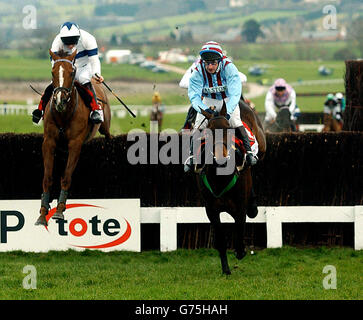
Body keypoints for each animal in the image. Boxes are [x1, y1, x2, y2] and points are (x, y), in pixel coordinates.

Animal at [36, 48, 112, 226]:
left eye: (72, 72)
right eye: (52, 71)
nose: (60, 100)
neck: (63, 114)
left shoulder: (75, 144)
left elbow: (66, 177)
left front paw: (59, 210)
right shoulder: (49, 142)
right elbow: (47, 177)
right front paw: (43, 213)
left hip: (105, 126)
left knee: (108, 136)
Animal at [196, 101, 268, 274]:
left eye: (229, 129)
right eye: (209, 131)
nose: (221, 159)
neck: (221, 179)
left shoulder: (240, 207)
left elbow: (240, 228)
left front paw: (240, 251)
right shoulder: (211, 210)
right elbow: (221, 240)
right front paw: (226, 269)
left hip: (262, 147)